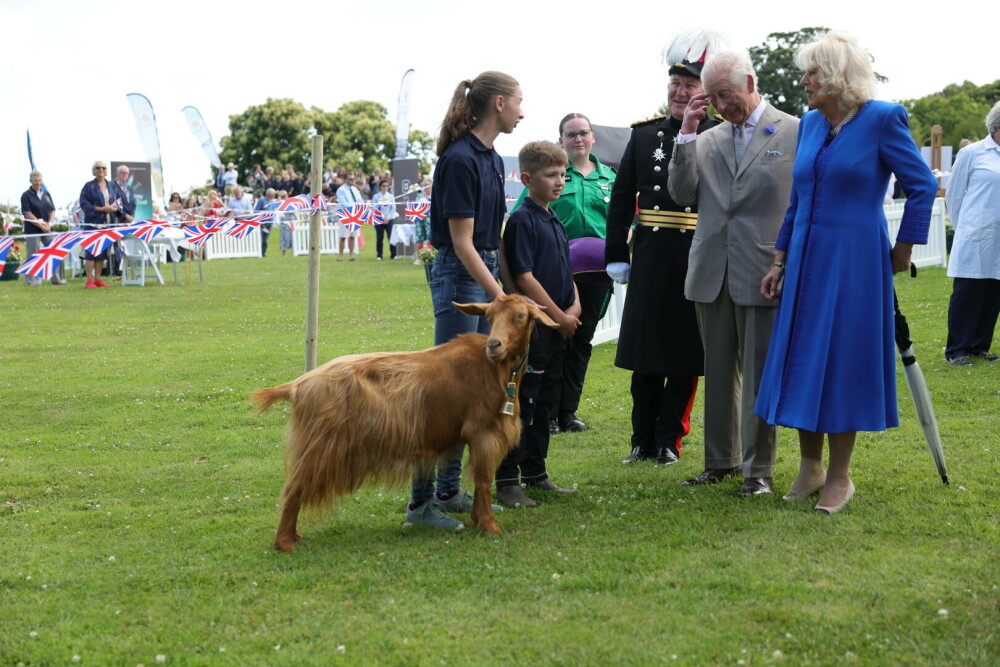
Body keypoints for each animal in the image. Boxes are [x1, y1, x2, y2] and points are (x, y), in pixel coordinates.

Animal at [254, 296, 560, 552]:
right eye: (490, 316)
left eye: (520, 316)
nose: (494, 345)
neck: (495, 369)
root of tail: (298, 385)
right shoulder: (483, 433)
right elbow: (483, 480)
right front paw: (489, 527)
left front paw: (478, 520)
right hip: (320, 446)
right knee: (293, 488)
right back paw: (285, 543)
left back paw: (292, 537)